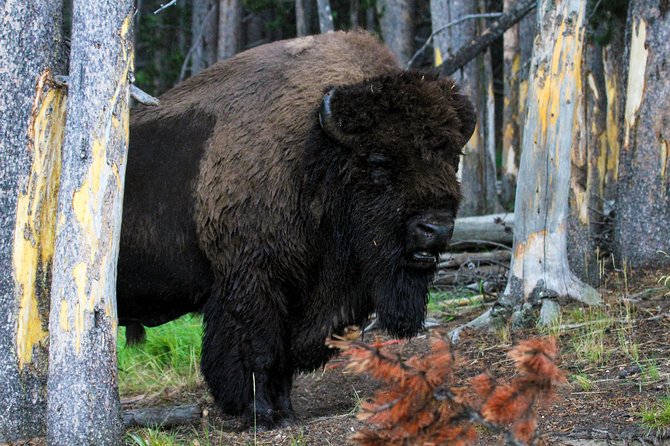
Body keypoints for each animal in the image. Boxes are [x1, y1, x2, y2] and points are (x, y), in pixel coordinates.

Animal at [117, 30, 478, 428]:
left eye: (452, 159)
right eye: (378, 162)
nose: (436, 229)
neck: (313, 157)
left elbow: (285, 357)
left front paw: (287, 413)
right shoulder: (252, 283)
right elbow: (258, 350)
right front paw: (260, 415)